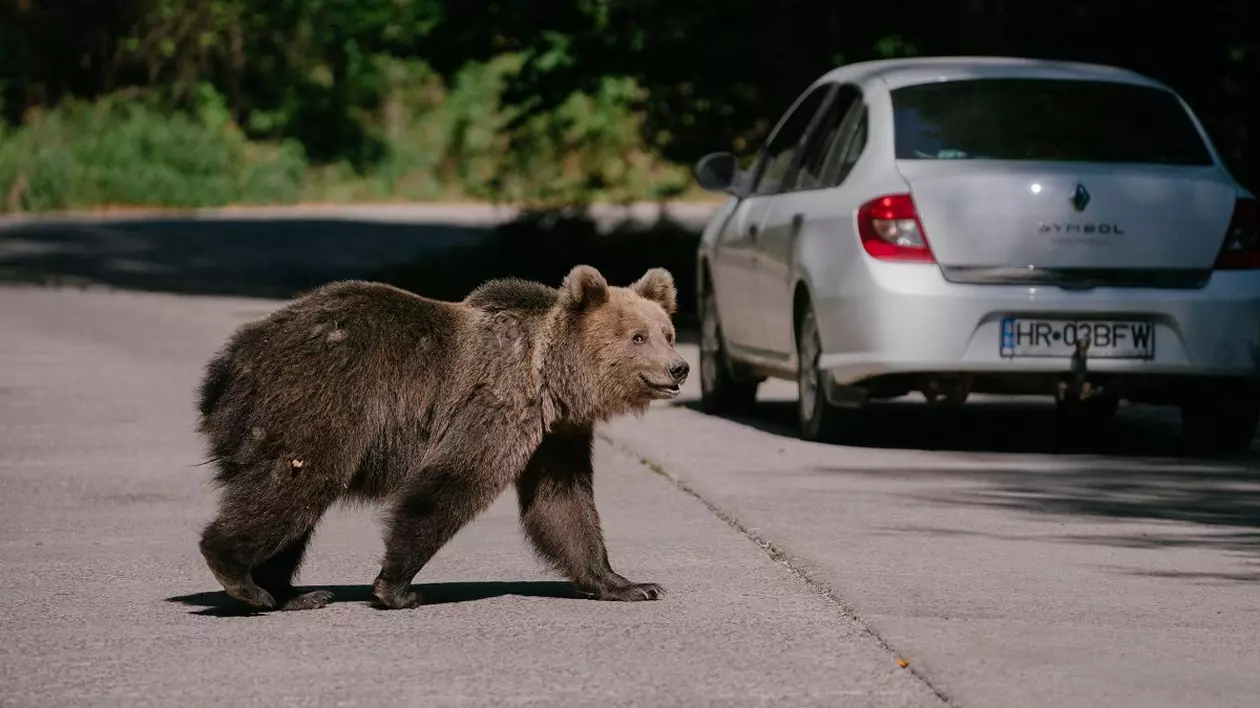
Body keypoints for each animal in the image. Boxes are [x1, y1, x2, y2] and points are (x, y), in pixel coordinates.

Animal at [194, 262, 690, 609]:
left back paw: (290, 592)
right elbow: (453, 481)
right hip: (318, 398)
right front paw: (396, 588)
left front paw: (629, 584)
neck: (551, 378)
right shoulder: (498, 401)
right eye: (638, 337)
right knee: (295, 484)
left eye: (667, 332)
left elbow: (562, 503)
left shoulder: (555, 434)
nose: (680, 367)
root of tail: (230, 362)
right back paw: (241, 577)